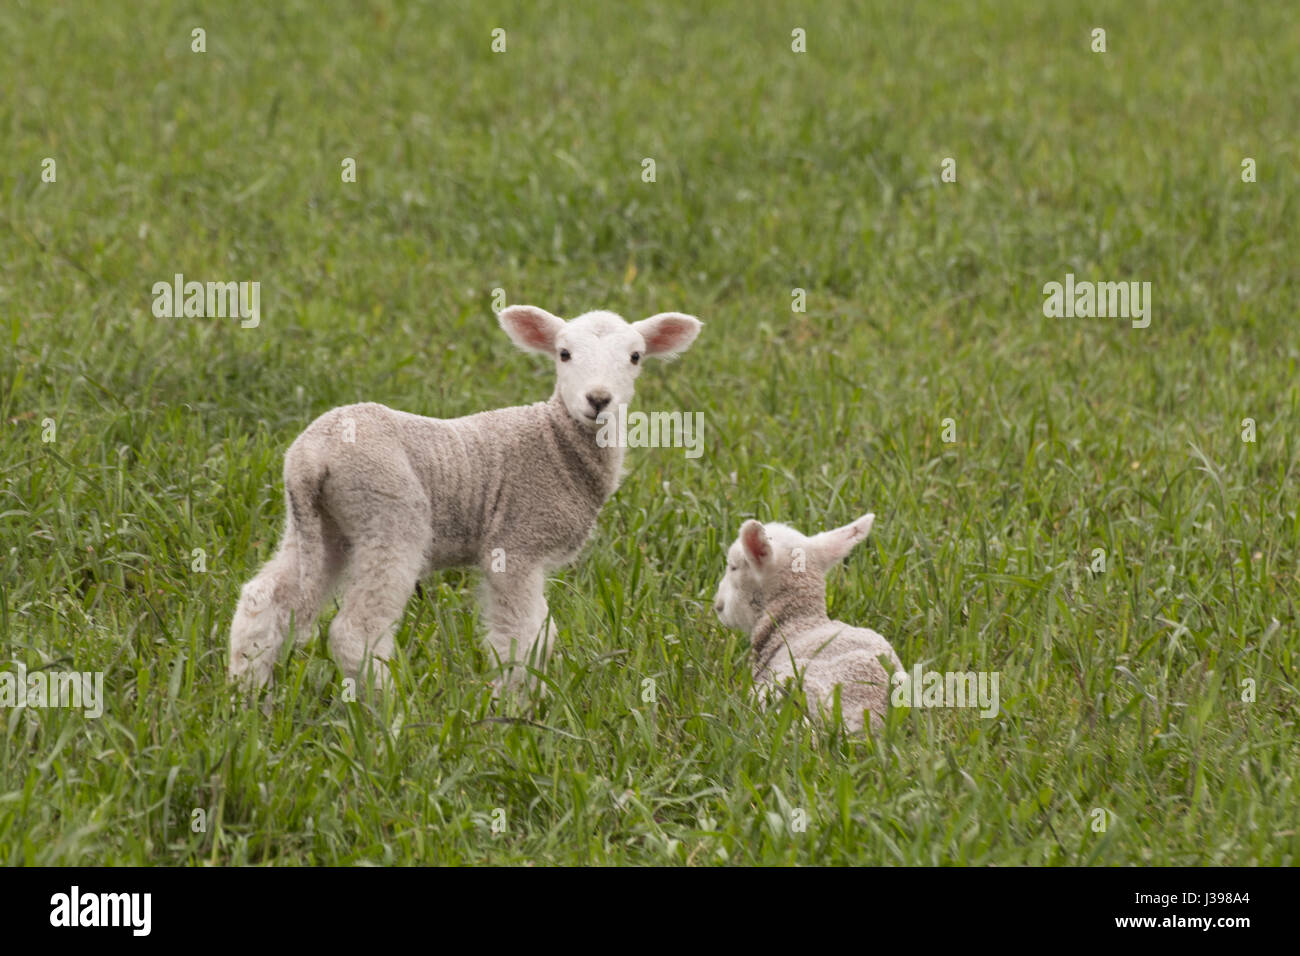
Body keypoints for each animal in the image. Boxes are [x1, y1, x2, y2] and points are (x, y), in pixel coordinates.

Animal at [228, 304, 702, 694]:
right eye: (564, 354)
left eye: (635, 357)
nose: (599, 400)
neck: (556, 442)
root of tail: (310, 456)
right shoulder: (516, 544)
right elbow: (522, 640)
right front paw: (515, 710)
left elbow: (543, 634)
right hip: (389, 512)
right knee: (355, 631)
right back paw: (390, 713)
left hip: (321, 523)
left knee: (262, 599)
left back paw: (247, 696)